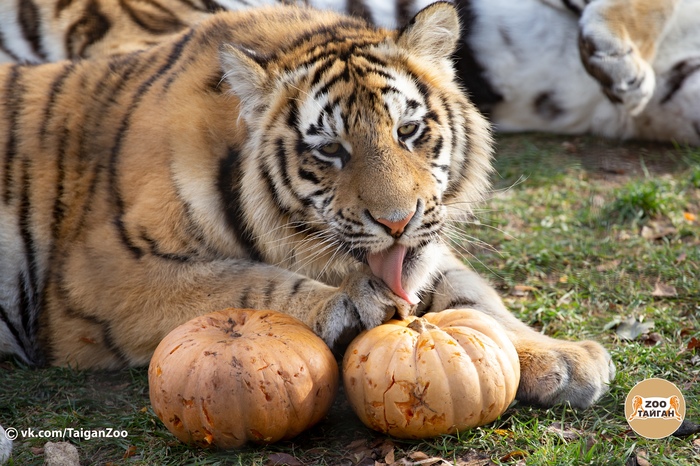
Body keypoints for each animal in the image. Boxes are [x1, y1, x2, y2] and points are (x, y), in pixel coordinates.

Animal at [0, 0, 612, 408]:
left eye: (408, 130)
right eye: (332, 150)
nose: (398, 221)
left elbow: (472, 294)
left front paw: (563, 357)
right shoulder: (102, 276)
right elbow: (242, 284)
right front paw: (344, 304)